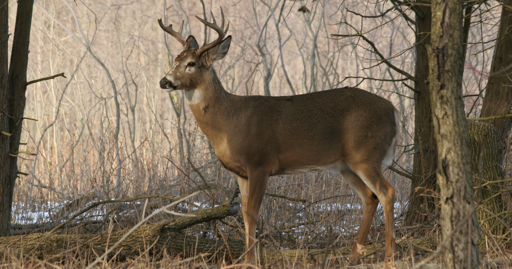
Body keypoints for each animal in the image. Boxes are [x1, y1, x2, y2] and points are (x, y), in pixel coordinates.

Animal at [158, 9, 398, 262]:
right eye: (175, 60)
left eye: (191, 63)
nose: (164, 81)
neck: (229, 122)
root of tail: (394, 109)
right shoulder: (241, 172)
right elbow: (244, 214)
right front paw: (248, 260)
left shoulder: (260, 163)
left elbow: (252, 213)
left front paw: (251, 263)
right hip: (346, 165)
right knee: (370, 197)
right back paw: (352, 257)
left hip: (366, 155)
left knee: (387, 193)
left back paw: (389, 258)